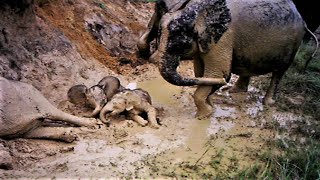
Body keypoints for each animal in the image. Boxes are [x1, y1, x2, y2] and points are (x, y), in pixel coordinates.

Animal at [141, 0, 308, 118]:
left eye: (179, 44)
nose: (223, 82)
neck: (197, 11)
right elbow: (201, 73)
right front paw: (211, 108)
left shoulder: (223, 38)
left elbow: (215, 73)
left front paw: (204, 115)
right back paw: (234, 91)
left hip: (295, 42)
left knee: (279, 72)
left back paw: (267, 103)